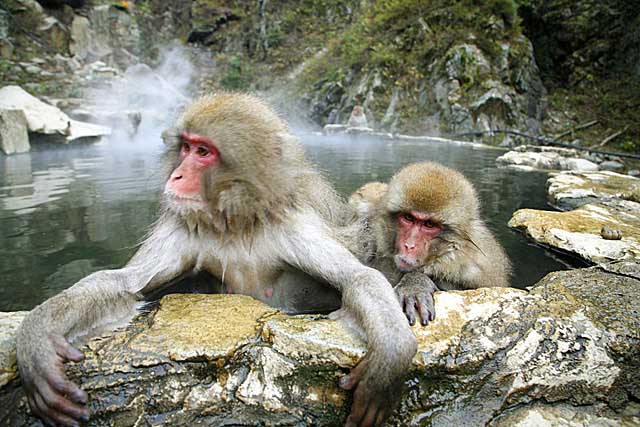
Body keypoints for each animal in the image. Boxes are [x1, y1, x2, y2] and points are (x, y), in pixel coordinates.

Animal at [16, 93, 416, 427]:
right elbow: (122, 283)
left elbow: (356, 276)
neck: (236, 224)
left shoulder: (294, 224)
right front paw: (36, 337)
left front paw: (391, 357)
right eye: (186, 147)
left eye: (204, 152)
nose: (177, 175)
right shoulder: (182, 227)